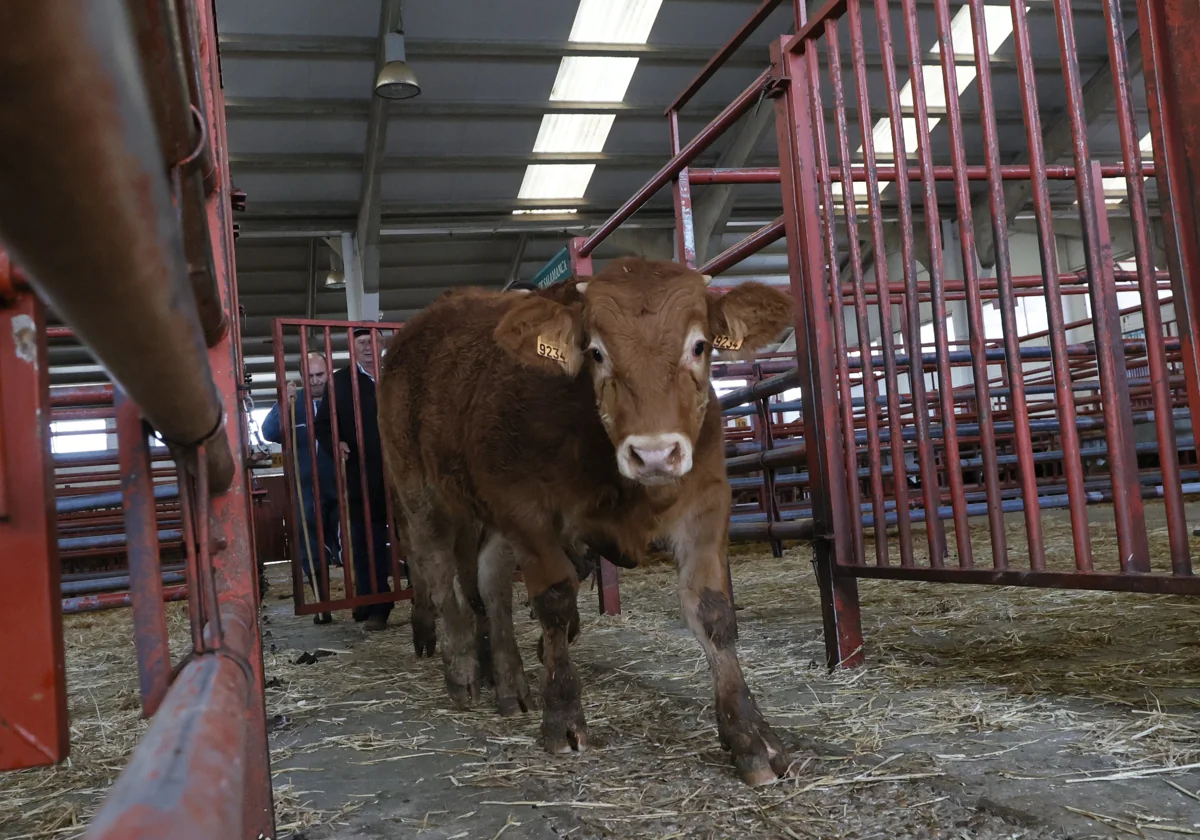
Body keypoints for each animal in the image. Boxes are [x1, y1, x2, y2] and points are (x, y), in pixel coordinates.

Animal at [381, 259, 796, 782]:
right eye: (596, 352)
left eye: (699, 345)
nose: (653, 453)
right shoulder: (527, 512)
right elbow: (555, 602)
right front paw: (562, 715)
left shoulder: (705, 502)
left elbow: (713, 611)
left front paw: (750, 736)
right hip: (419, 491)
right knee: (438, 575)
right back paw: (462, 671)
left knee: (491, 585)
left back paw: (511, 682)